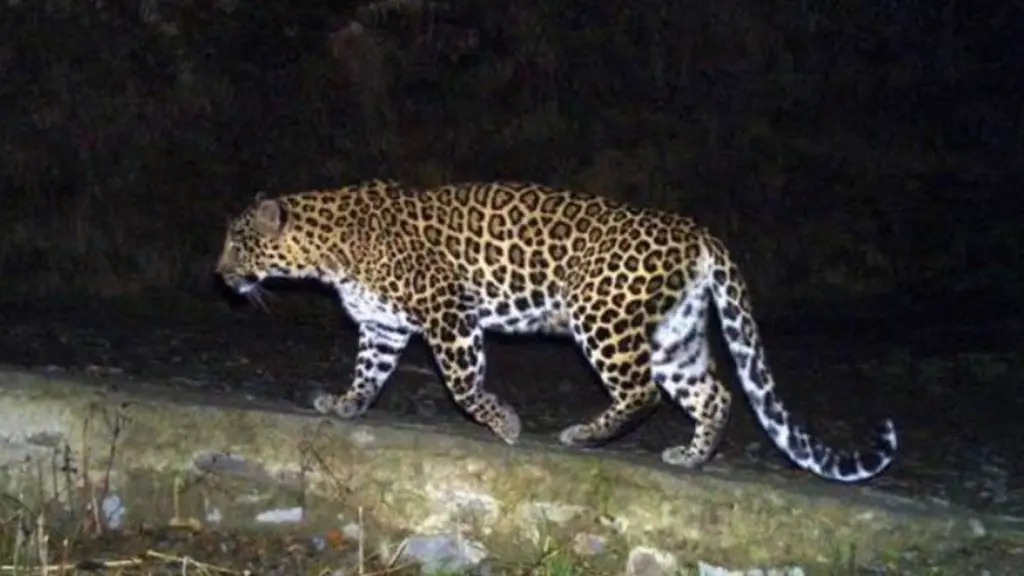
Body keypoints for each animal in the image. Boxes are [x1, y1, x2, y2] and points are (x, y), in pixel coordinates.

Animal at [215, 179, 898, 483]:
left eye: (238, 242)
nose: (219, 275)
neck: (328, 248)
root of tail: (697, 231)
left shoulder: (448, 310)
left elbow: (463, 383)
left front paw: (505, 424)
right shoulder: (383, 327)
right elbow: (367, 374)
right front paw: (345, 404)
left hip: (602, 316)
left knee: (642, 392)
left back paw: (584, 435)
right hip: (674, 334)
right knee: (715, 394)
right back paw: (690, 456)